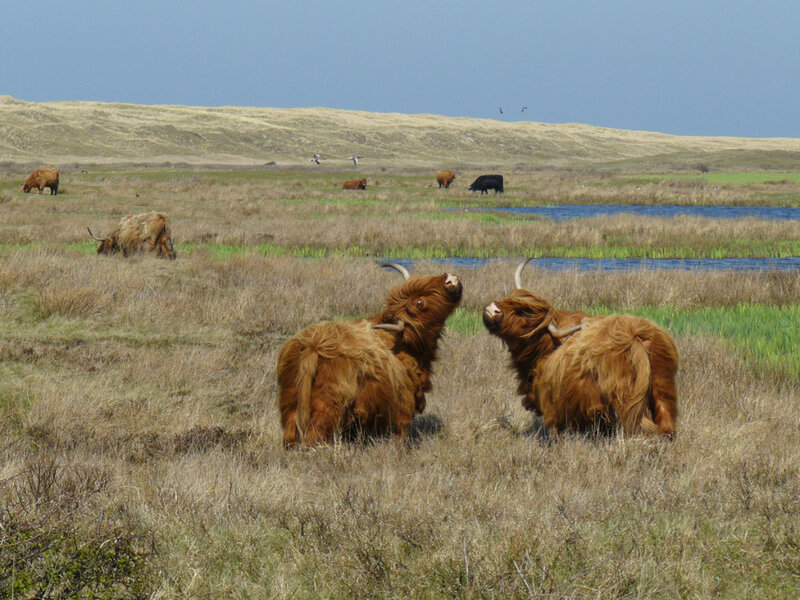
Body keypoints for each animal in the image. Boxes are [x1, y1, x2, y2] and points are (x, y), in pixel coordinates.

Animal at [277, 263, 463, 448]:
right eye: (419, 302)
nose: (450, 278)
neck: (406, 345)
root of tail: (313, 346)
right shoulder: (404, 401)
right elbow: (402, 431)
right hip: (328, 403)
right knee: (315, 434)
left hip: (291, 398)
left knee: (291, 431)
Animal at [483, 258, 678, 438]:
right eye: (509, 298)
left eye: (525, 312)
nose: (492, 308)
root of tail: (636, 336)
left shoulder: (550, 403)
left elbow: (554, 431)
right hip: (662, 386)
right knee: (665, 421)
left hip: (626, 398)